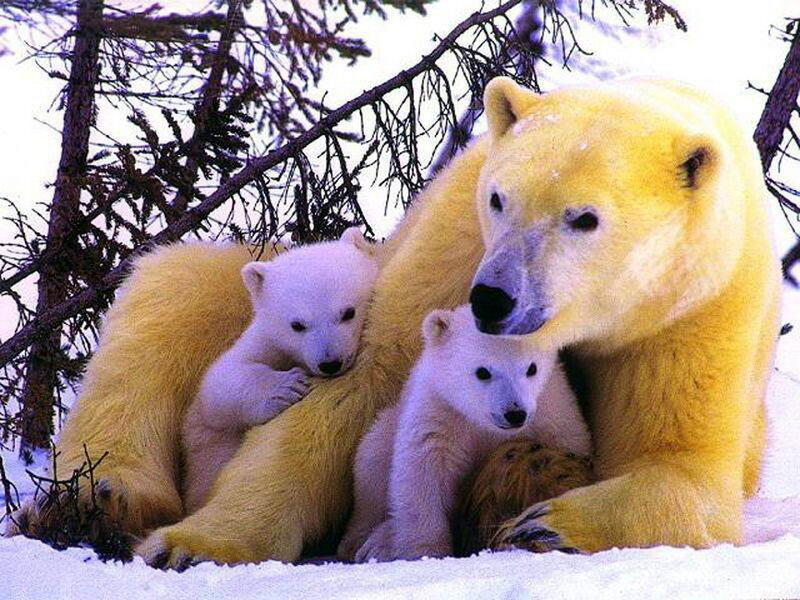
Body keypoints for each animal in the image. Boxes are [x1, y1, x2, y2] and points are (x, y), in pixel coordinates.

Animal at [181, 227, 378, 515]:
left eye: (348, 312)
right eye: (297, 325)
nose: (330, 363)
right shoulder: (267, 339)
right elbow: (217, 386)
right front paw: (287, 388)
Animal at [337, 305, 591, 563]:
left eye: (532, 368)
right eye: (483, 372)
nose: (515, 413)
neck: (483, 423)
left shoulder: (550, 409)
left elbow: (567, 451)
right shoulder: (441, 412)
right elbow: (423, 475)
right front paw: (425, 551)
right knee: (372, 465)